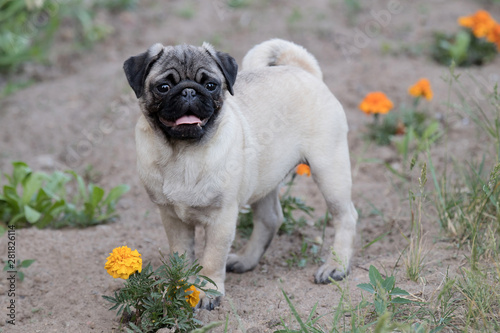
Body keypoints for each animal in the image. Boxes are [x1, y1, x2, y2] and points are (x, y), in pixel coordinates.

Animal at [125, 39, 360, 308]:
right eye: (163, 87)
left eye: (211, 85)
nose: (189, 91)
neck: (183, 153)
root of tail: (304, 71)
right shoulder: (172, 218)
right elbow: (181, 257)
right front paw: (181, 288)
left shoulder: (222, 218)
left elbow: (212, 258)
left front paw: (207, 292)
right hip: (265, 179)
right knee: (270, 219)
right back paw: (247, 260)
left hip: (329, 169)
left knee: (346, 216)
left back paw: (336, 266)